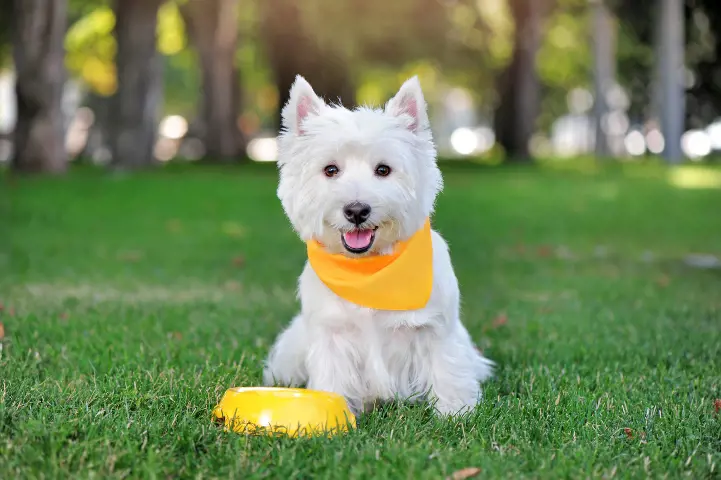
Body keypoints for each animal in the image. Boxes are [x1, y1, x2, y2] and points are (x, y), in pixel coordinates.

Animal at [262, 75, 492, 416]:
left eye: (383, 170)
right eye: (331, 170)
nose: (357, 210)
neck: (368, 270)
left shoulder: (436, 330)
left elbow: (446, 369)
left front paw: (455, 413)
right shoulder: (332, 334)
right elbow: (333, 377)